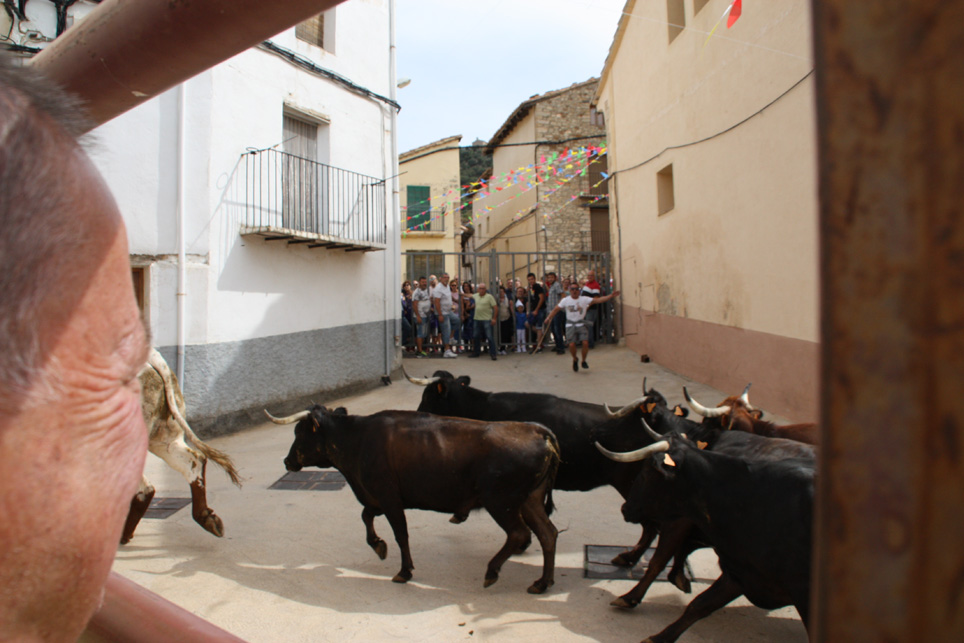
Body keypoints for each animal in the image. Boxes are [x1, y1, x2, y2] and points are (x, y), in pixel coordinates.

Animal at [268, 405, 560, 594]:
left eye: (299, 433)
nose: (287, 461)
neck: (357, 440)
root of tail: (537, 431)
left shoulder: (389, 497)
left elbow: (400, 533)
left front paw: (404, 570)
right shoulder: (377, 497)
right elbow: (366, 516)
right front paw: (379, 546)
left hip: (501, 502)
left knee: (519, 534)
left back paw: (492, 572)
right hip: (530, 500)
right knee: (548, 533)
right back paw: (542, 583)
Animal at [596, 435, 815, 642]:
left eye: (648, 472)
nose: (625, 508)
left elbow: (658, 560)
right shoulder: (743, 571)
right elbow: (700, 604)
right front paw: (657, 635)